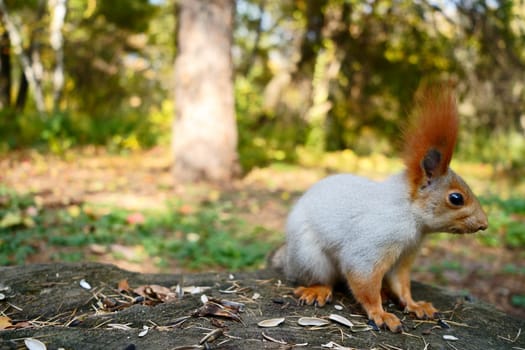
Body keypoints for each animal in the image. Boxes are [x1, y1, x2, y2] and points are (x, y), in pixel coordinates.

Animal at [270, 86, 488, 332]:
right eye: (456, 198)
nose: (484, 224)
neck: (410, 216)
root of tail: (288, 258)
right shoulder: (373, 242)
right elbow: (363, 278)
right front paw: (380, 314)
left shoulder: (405, 254)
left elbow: (401, 283)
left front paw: (415, 305)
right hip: (310, 258)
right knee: (322, 278)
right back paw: (317, 290)